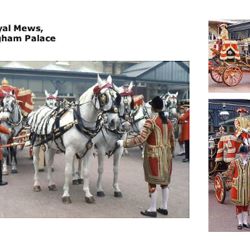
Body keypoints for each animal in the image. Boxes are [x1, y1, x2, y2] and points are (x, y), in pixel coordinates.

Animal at [28, 75, 119, 204]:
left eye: (116, 96)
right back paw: (36, 184)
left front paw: (88, 194)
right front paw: (66, 194)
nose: (114, 121)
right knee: (36, 162)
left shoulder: (89, 150)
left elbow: (86, 172)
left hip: (51, 146)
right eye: (103, 96)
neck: (79, 122)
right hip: (36, 144)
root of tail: (39, 110)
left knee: (49, 163)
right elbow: (68, 171)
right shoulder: (70, 150)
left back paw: (51, 184)